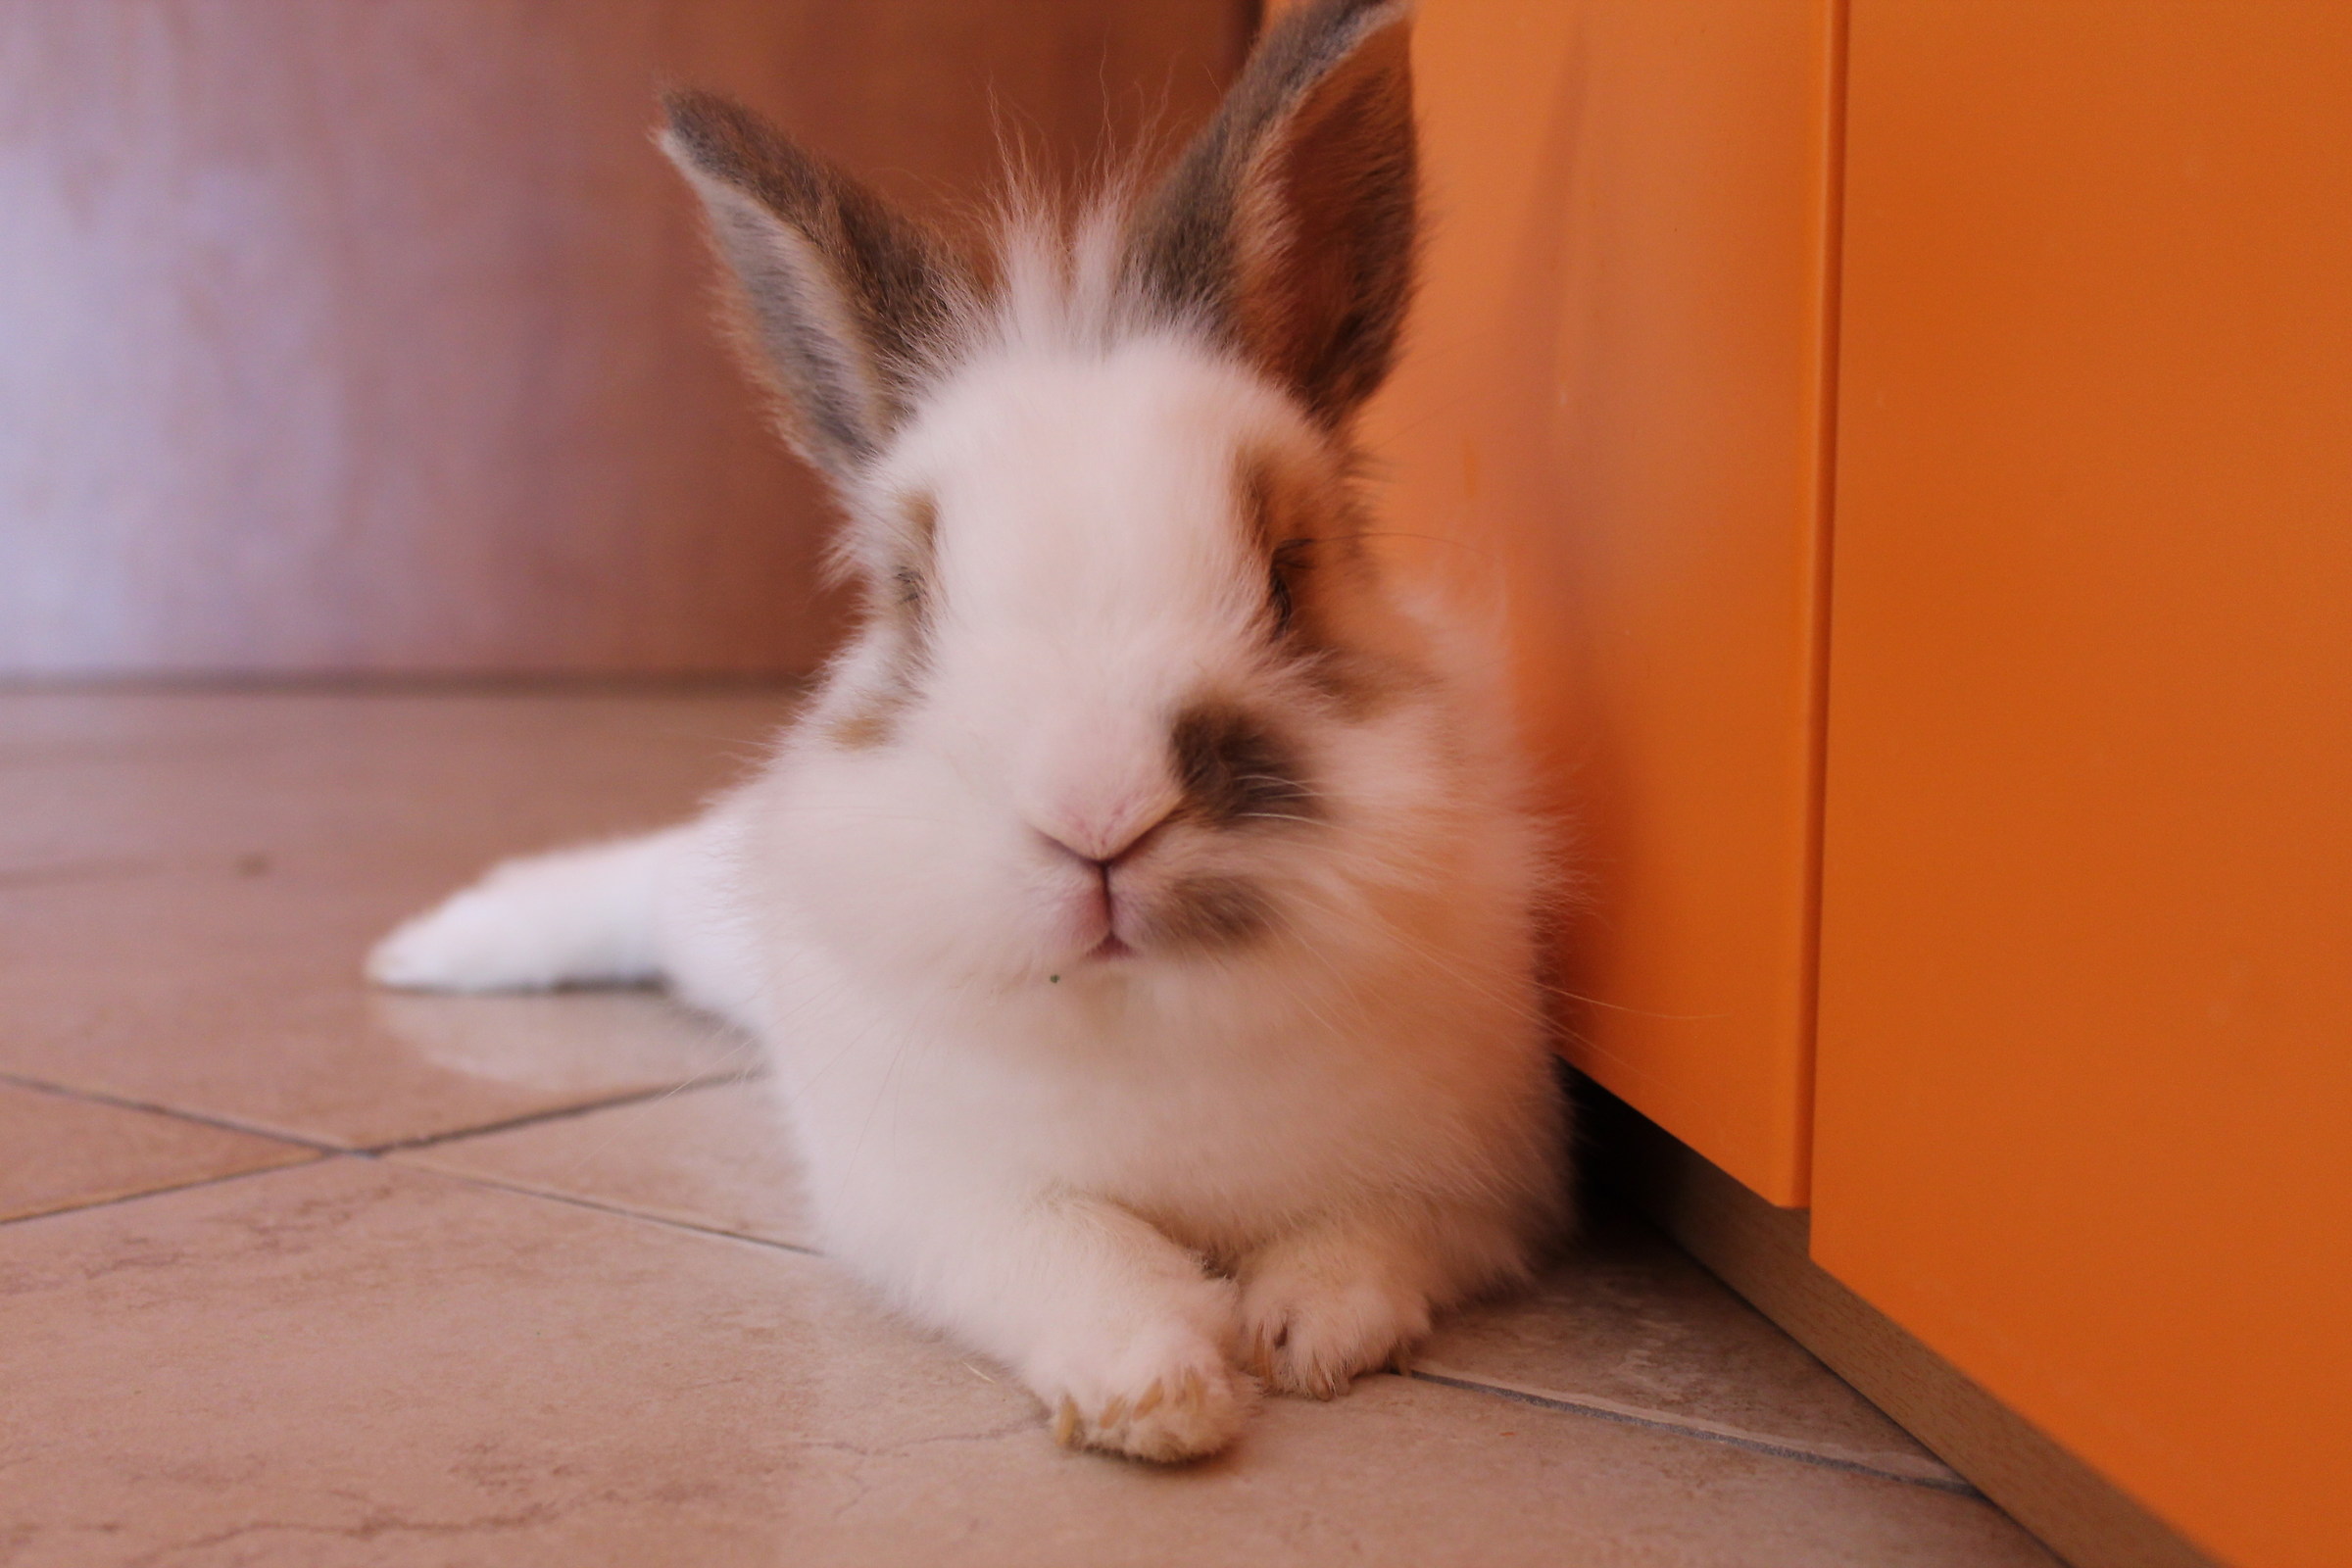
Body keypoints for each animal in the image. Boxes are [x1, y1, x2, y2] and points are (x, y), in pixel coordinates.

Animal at [368, 0, 1568, 1463]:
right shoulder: (940, 1198)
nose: (1099, 816)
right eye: (912, 596)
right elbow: (1065, 1253)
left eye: (1287, 573)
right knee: (624, 889)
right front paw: (1155, 1388)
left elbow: (1380, 1233)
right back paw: (432, 949)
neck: (1150, 1017)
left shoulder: (1488, 1180)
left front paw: (1310, 1328)